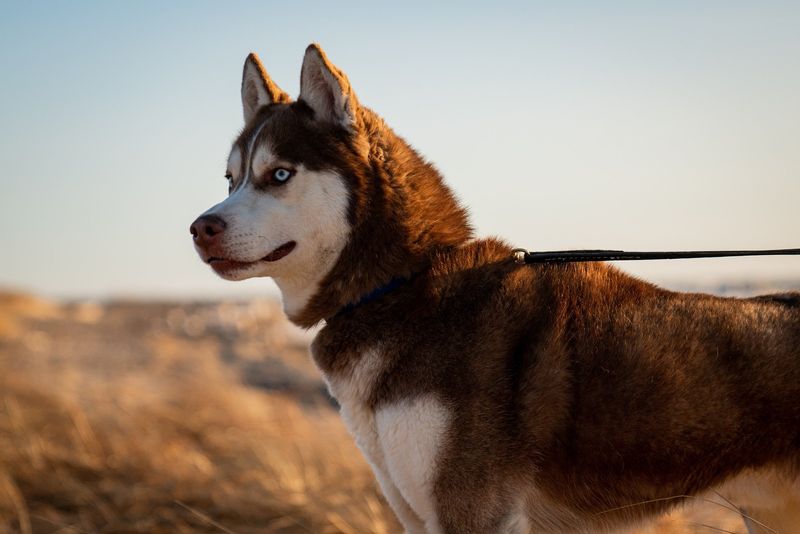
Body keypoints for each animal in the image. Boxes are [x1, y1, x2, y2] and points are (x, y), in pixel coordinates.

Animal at [194, 44, 800, 532]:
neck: (402, 285)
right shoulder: (415, 510)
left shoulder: (473, 511)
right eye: (231, 179)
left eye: (279, 174)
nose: (200, 228)